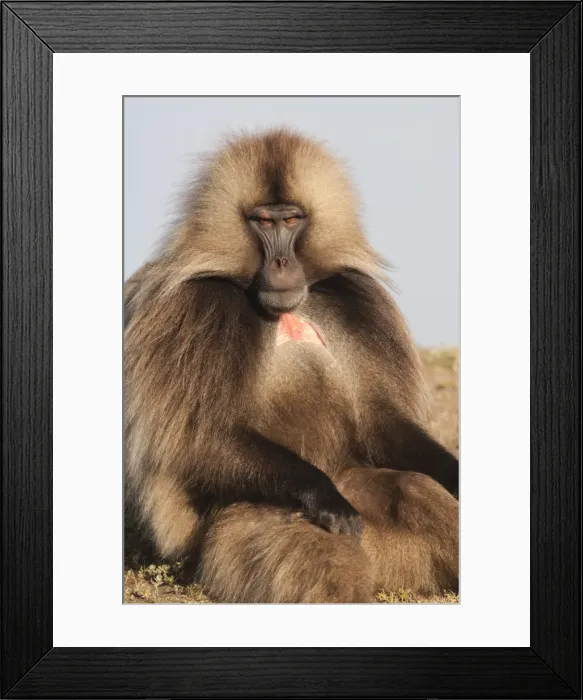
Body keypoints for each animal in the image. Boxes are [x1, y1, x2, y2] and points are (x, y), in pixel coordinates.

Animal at [124, 128, 459, 603]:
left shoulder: (358, 303)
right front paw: (325, 496)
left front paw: (457, 475)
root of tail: (382, 572)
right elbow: (200, 439)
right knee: (311, 555)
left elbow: (380, 421)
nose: (282, 264)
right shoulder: (195, 313)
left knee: (412, 488)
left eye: (293, 220)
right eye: (263, 222)